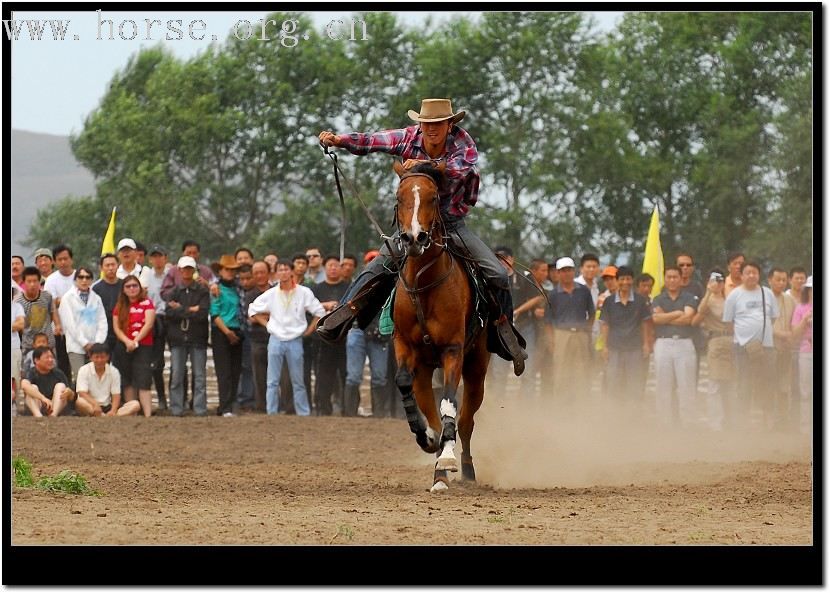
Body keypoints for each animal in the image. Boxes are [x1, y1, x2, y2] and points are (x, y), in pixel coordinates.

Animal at [392, 160, 494, 492]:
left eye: (434, 197)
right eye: (399, 198)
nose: (415, 238)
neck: (424, 285)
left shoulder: (453, 350)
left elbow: (449, 401)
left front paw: (447, 457)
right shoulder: (404, 346)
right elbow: (403, 383)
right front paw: (425, 438)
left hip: (477, 367)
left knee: (466, 421)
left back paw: (463, 469)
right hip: (425, 371)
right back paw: (437, 468)